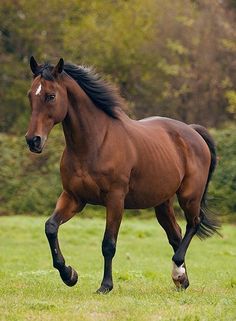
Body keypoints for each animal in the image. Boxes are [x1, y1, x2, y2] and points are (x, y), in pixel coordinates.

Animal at [25, 56, 219, 292]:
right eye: (30, 95)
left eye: (51, 96)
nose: (33, 140)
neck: (94, 143)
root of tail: (192, 131)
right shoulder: (73, 197)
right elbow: (51, 227)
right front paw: (69, 274)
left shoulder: (115, 199)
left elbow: (108, 244)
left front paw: (105, 285)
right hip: (162, 202)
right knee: (175, 234)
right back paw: (181, 279)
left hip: (189, 196)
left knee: (194, 223)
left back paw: (177, 268)